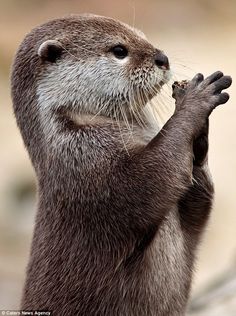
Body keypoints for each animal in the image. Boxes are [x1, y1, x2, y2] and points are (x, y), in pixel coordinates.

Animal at [11, 13, 230, 314]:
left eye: (143, 35)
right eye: (119, 50)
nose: (162, 58)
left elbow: (199, 205)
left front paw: (200, 129)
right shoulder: (91, 173)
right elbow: (152, 179)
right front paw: (194, 101)